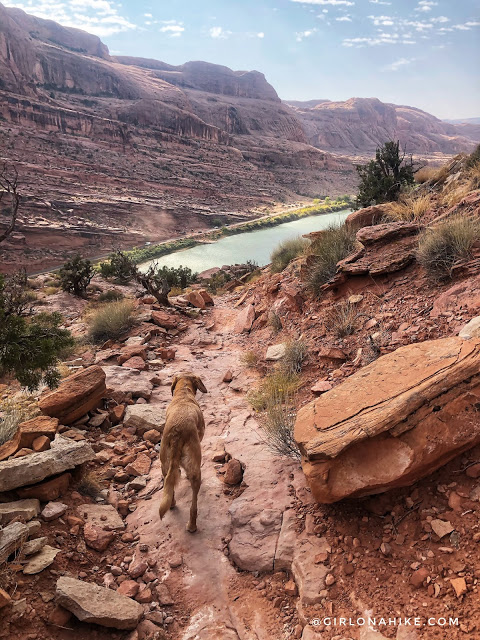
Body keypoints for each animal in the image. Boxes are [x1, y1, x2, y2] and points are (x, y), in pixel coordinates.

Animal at [158, 372, 207, 532]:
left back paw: (172, 504)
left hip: (164, 464)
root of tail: (176, 433)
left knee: (169, 487)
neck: (184, 392)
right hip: (195, 468)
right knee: (193, 505)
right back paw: (192, 526)